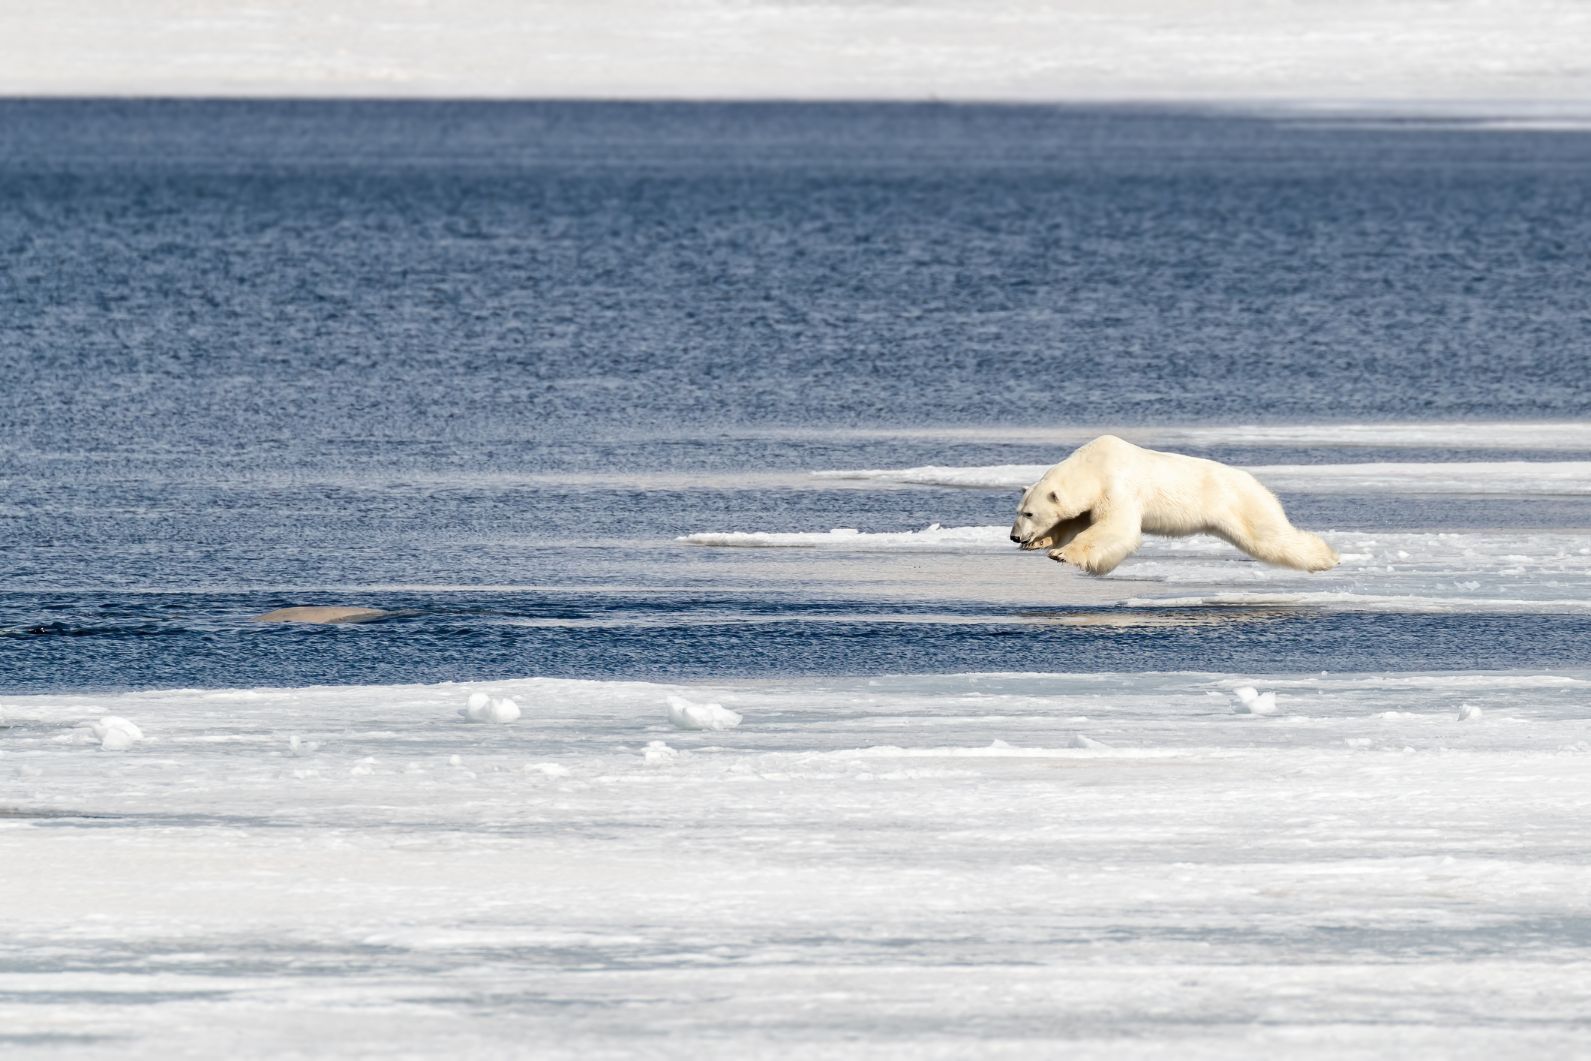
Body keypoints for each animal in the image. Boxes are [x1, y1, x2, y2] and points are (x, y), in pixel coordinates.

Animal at [1011, 435, 1336, 575]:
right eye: (1018, 511)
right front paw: (1040, 542)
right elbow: (1075, 521)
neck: (1093, 466)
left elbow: (1115, 528)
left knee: (1269, 536)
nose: (1014, 536)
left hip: (1242, 503)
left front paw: (1062, 554)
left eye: (1029, 512)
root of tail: (1258, 484)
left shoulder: (1117, 487)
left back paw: (1327, 557)